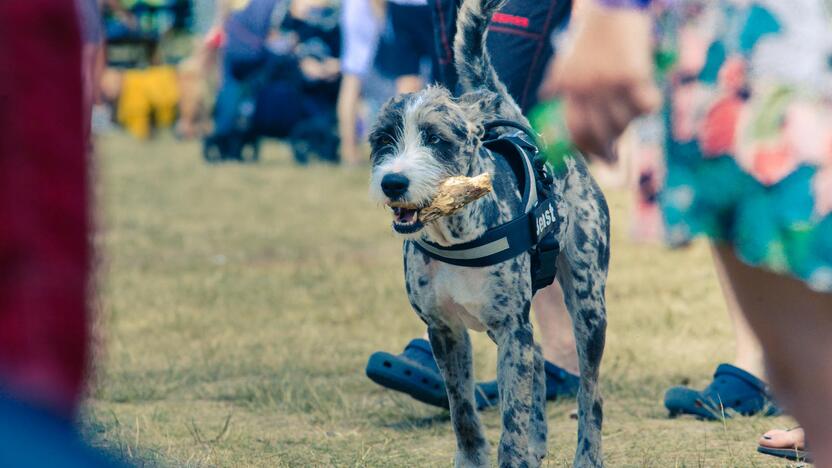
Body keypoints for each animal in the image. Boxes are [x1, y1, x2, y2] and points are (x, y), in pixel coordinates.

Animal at [370, 1, 612, 466]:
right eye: (382, 139)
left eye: (435, 139)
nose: (393, 182)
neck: (457, 238)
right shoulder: (445, 330)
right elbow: (462, 412)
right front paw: (473, 458)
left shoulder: (511, 329)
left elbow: (511, 420)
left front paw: (514, 452)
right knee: (539, 362)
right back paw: (539, 444)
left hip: (589, 304)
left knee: (589, 392)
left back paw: (586, 456)